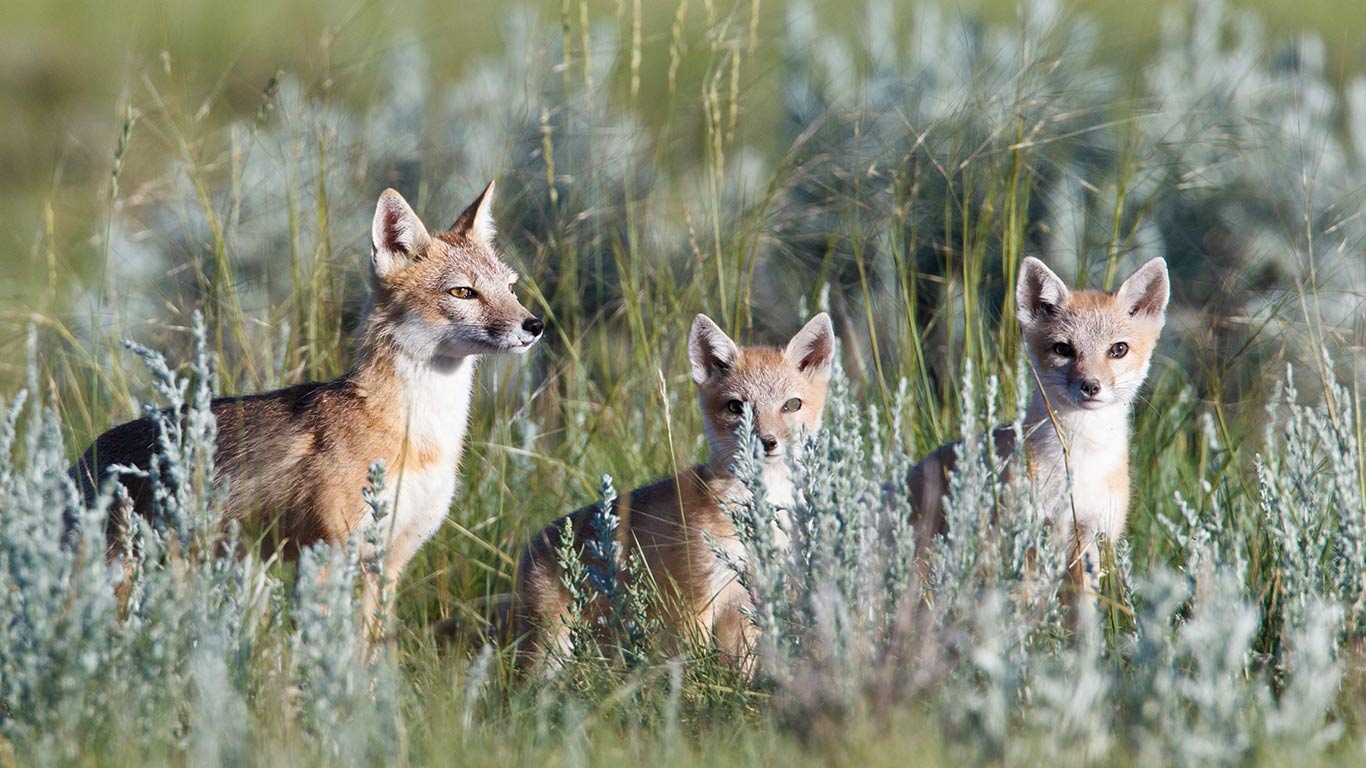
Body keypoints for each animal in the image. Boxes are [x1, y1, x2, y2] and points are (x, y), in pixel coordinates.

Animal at [71, 183, 543, 624]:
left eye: (510, 288)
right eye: (463, 292)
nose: (534, 325)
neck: (419, 436)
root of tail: (83, 456)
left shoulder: (390, 562)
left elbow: (372, 649)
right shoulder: (328, 554)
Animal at [509, 312, 836, 672]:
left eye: (792, 405)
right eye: (736, 407)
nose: (767, 442)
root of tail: (531, 544)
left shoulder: (743, 602)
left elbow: (741, 670)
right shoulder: (694, 599)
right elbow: (692, 664)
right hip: (552, 649)